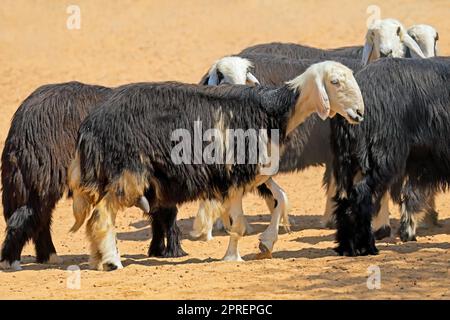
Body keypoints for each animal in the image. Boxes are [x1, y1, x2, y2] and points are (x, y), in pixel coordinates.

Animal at [0, 82, 112, 270]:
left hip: (28, 180)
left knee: (39, 217)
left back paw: (48, 256)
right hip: (44, 178)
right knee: (27, 216)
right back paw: (11, 261)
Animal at [67, 60, 366, 270]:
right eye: (335, 82)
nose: (359, 114)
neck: (272, 112)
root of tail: (92, 123)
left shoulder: (256, 174)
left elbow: (281, 198)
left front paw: (266, 244)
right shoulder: (235, 176)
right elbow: (237, 223)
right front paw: (232, 257)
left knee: (95, 216)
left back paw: (97, 258)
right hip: (128, 173)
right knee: (101, 214)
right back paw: (111, 262)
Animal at [330, 57, 450, 258]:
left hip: (348, 162)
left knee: (344, 200)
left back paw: (346, 247)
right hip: (383, 158)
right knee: (361, 195)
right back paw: (366, 246)